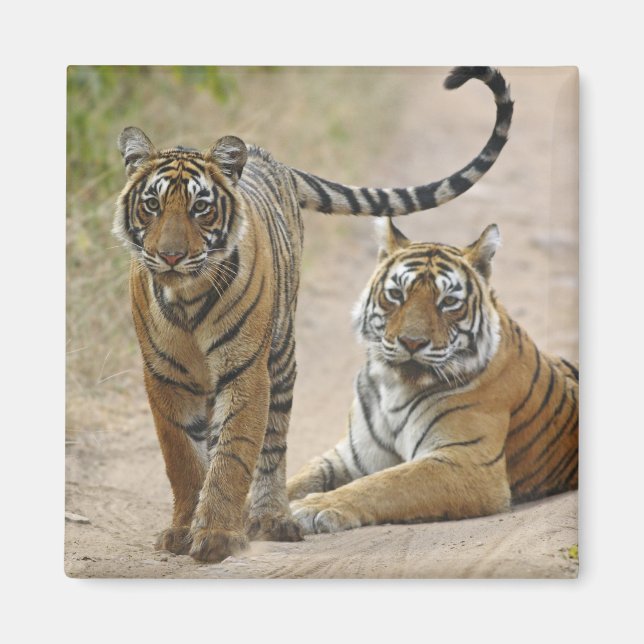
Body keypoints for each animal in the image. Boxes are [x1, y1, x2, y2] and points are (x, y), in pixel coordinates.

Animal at [113, 66, 513, 563]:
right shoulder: (162, 375)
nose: (170, 256)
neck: (186, 296)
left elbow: (233, 454)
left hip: (281, 355)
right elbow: (183, 459)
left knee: (272, 444)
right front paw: (183, 531)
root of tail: (269, 157)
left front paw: (219, 535)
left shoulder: (245, 370)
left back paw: (270, 518)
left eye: (200, 208)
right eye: (152, 204)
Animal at [287, 219, 579, 534]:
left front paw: (313, 507)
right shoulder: (351, 456)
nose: (412, 342)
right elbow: (295, 480)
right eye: (396, 294)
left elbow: (386, 483)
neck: (395, 386)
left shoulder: (467, 460)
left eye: (448, 301)